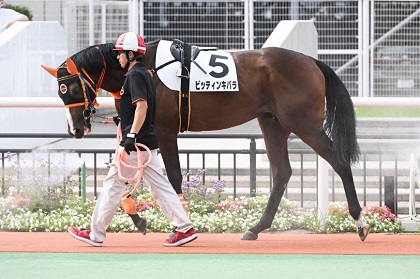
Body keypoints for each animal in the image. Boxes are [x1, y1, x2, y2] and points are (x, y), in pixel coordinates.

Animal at [41, 40, 370, 242]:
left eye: (69, 88)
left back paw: (359, 221)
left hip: (303, 124)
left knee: (339, 162)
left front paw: (178, 226)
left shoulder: (164, 130)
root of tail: (312, 61)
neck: (145, 66)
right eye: (59, 91)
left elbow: (171, 178)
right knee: (282, 173)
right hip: (272, 122)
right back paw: (256, 228)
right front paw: (139, 219)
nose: (76, 129)